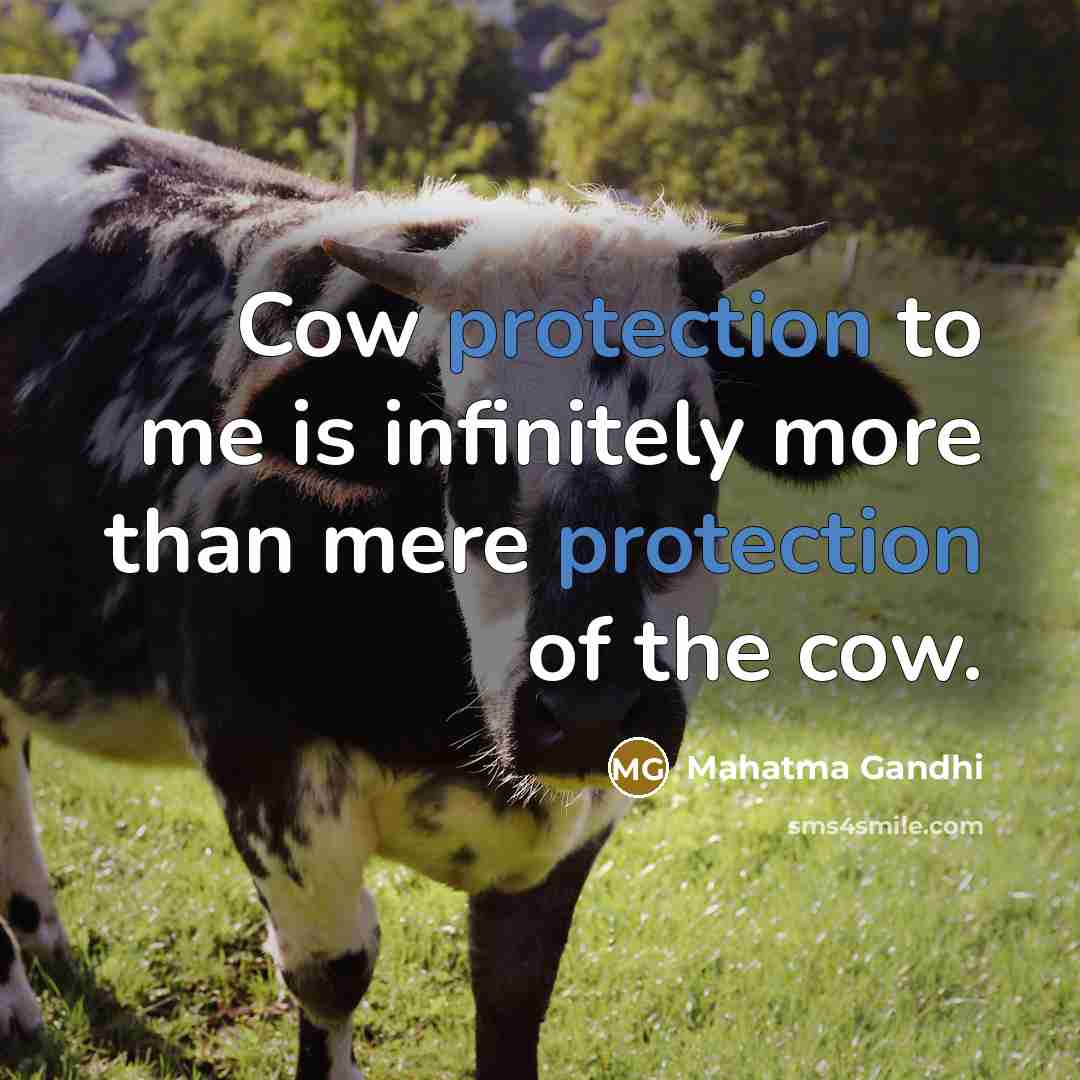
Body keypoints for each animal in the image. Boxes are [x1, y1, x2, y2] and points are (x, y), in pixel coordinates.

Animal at [0, 76, 918, 1079]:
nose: (589, 709)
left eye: (694, 448)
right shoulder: (261, 766)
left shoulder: (575, 827)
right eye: (463, 449)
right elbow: (332, 976)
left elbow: (514, 998)